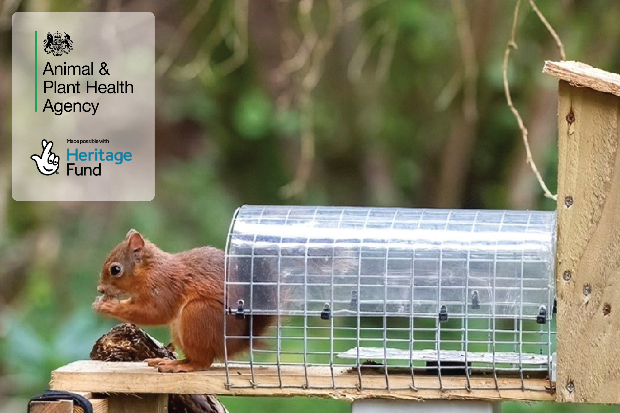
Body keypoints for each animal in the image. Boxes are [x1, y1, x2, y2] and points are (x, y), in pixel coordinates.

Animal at [91, 230, 272, 372]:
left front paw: (108, 305)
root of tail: (237, 342)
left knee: (202, 362)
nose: (100, 289)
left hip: (197, 313)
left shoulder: (164, 286)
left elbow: (155, 312)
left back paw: (180, 366)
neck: (150, 270)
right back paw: (169, 361)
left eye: (115, 269)